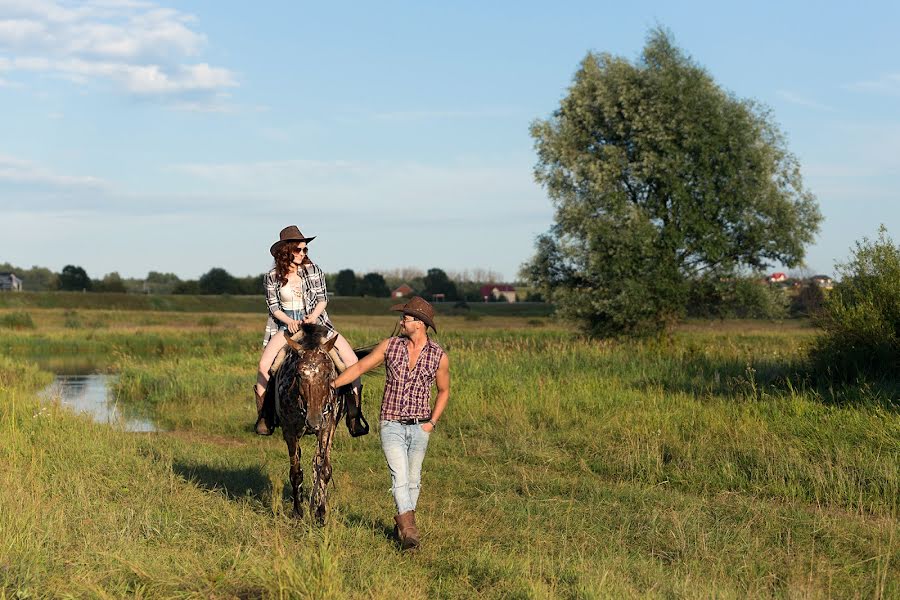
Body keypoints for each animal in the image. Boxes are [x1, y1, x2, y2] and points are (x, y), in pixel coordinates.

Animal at [268, 322, 344, 524]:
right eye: (299, 374)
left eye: (327, 374)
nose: (313, 420)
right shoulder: (289, 431)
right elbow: (295, 472)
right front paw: (297, 512)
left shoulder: (327, 427)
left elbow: (323, 470)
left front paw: (320, 513)